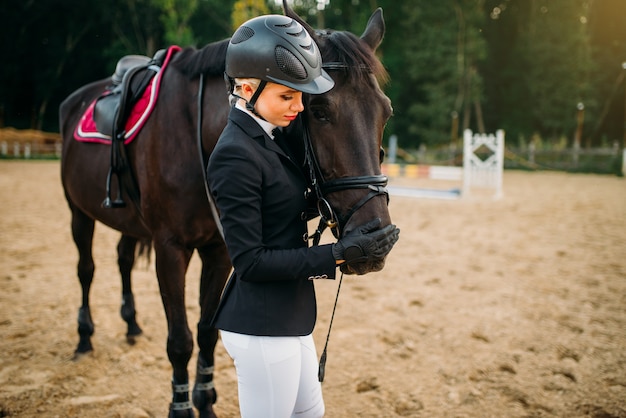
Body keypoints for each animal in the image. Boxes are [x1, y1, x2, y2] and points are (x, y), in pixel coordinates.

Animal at [57, 1, 390, 416]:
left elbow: (207, 331)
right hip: (79, 212)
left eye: (385, 112)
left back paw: (131, 326)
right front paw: (181, 407)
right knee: (86, 270)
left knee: (122, 259)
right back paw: (84, 338)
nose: (375, 234)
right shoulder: (170, 248)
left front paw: (206, 402)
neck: (198, 133)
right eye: (317, 110)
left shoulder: (218, 251)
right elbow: (180, 340)